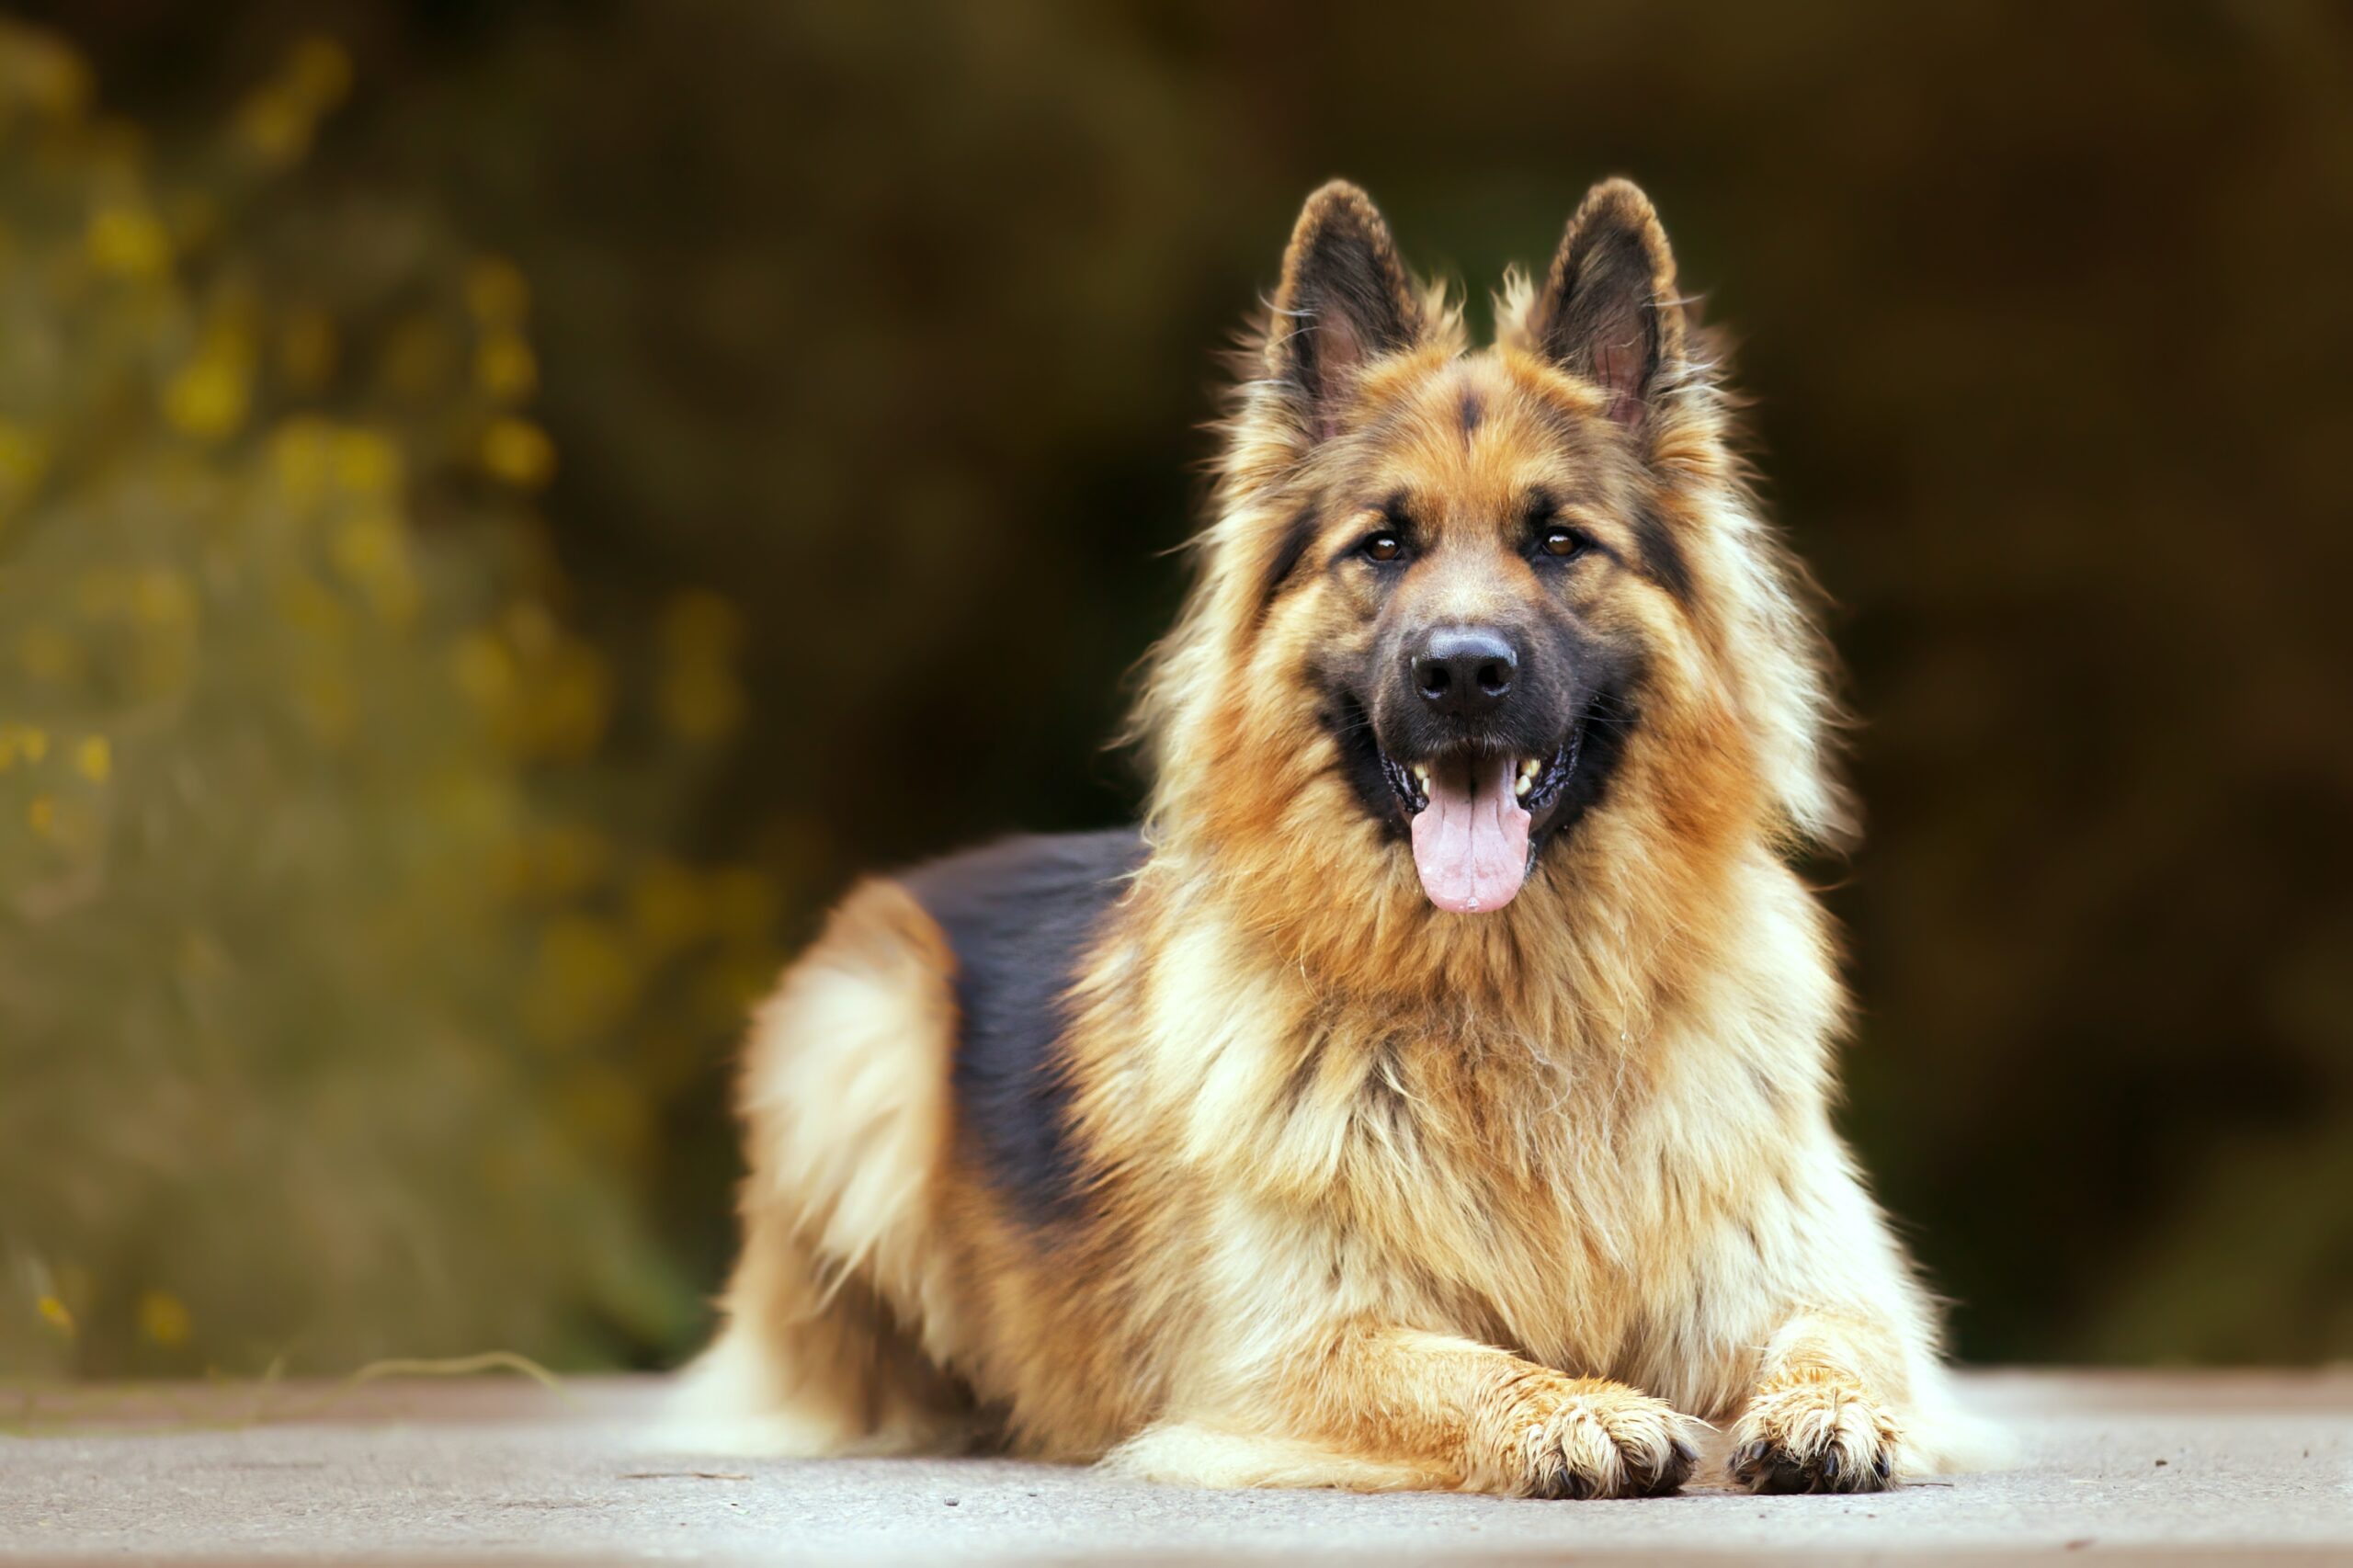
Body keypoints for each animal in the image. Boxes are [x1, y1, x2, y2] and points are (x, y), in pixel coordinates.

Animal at [677, 179, 1985, 1487]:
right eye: (1384, 544)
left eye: (1558, 541)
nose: (1463, 672)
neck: (1504, 1005)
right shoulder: (1290, 1347)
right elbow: (1459, 1365)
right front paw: (1571, 1408)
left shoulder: (1800, 1273)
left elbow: (1841, 1334)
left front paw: (1830, 1410)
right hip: (865, 1045)